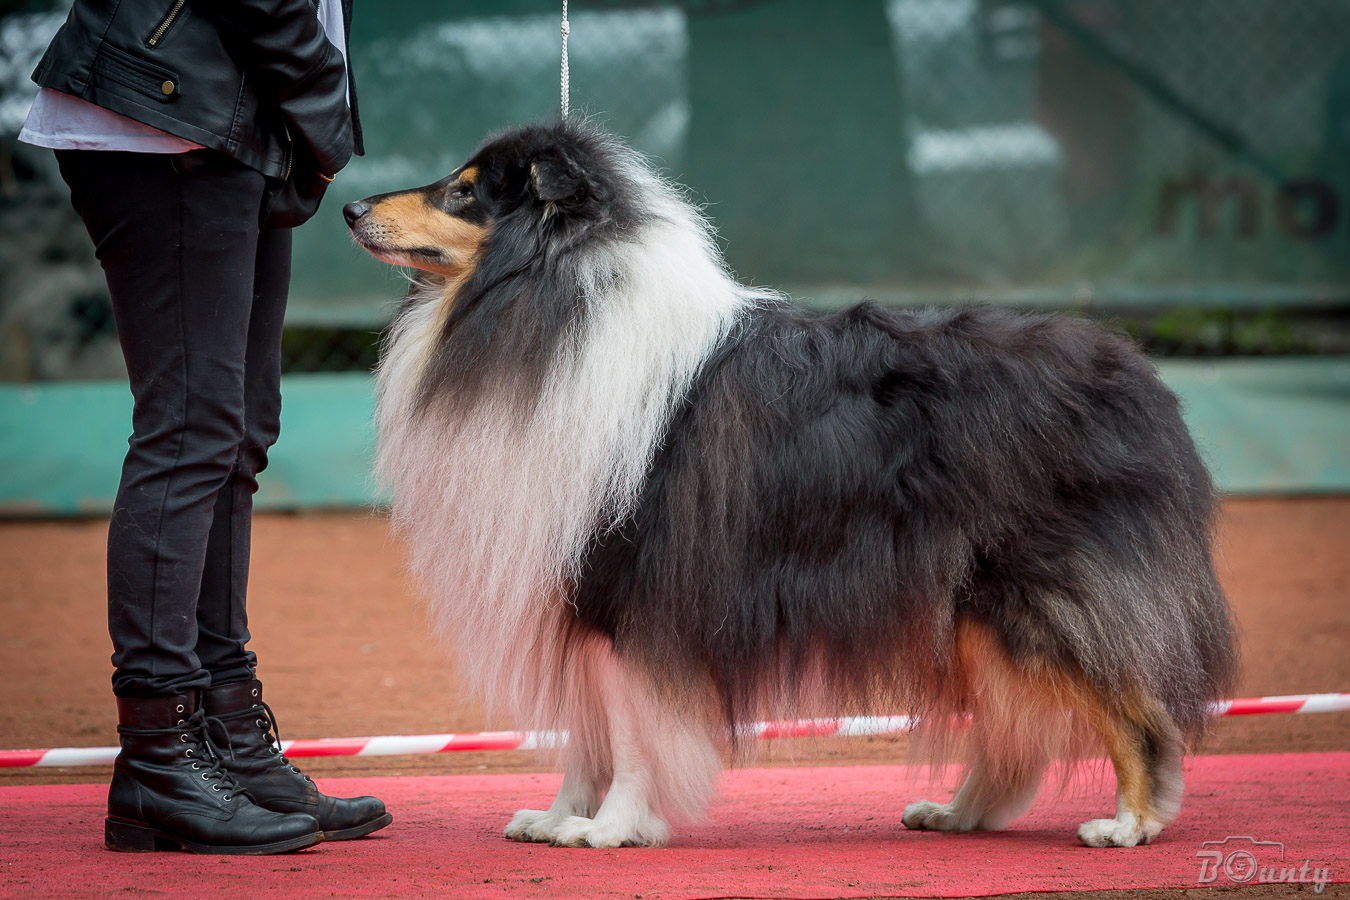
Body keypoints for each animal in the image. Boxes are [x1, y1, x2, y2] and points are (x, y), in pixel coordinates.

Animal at [344, 120, 1237, 849]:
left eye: (464, 191)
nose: (349, 207)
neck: (551, 304)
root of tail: (1142, 377)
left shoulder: (629, 588)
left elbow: (629, 731)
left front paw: (610, 828)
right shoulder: (577, 591)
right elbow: (586, 734)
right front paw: (560, 817)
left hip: (1037, 594)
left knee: (1131, 703)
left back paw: (1130, 823)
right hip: (965, 609)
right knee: (1019, 731)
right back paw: (960, 814)